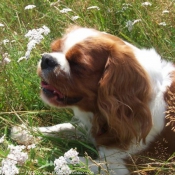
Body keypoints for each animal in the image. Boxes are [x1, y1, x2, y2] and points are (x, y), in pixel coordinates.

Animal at [11, 26, 175, 175]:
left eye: (78, 64)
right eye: (53, 49)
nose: (46, 59)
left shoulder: (123, 168)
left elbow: (69, 160)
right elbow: (64, 127)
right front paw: (26, 132)